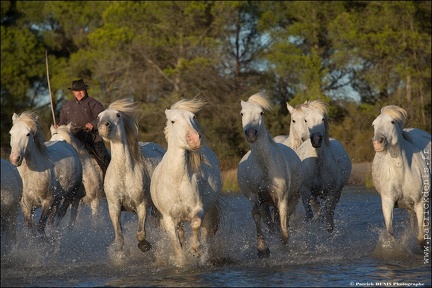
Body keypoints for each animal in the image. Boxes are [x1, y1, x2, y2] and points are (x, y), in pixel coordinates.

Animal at [97, 98, 165, 252]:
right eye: (99, 116)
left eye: (117, 115)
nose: (103, 127)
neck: (124, 173)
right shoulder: (114, 207)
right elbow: (119, 238)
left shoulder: (141, 205)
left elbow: (140, 233)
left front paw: (145, 246)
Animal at [150, 97, 221, 266]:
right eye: (173, 121)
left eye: (193, 117)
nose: (195, 139)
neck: (176, 181)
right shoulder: (168, 218)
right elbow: (176, 244)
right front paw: (182, 261)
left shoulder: (198, 209)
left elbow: (195, 224)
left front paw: (194, 250)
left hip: (209, 212)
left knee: (205, 234)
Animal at [236, 93, 304, 258]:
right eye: (242, 113)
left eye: (261, 113)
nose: (251, 134)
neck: (264, 167)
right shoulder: (255, 197)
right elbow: (256, 215)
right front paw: (262, 249)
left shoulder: (282, 198)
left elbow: (284, 232)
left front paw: (284, 251)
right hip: (266, 204)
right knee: (271, 224)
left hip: (293, 198)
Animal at [296, 100, 352, 233]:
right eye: (305, 120)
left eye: (322, 119)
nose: (316, 140)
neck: (317, 164)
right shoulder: (305, 191)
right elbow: (310, 215)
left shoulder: (332, 193)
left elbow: (327, 217)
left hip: (337, 193)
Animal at [372, 104, 430, 249]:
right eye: (374, 124)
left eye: (392, 121)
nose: (378, 142)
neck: (402, 173)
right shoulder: (387, 202)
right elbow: (390, 234)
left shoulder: (420, 202)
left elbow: (421, 239)